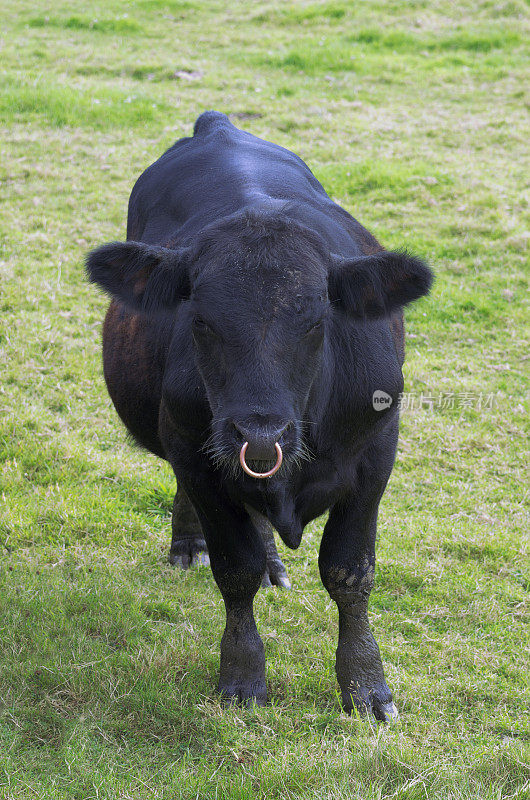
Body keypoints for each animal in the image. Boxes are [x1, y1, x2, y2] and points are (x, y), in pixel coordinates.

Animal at [86, 108, 432, 720]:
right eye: (200, 320)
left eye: (317, 321)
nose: (260, 431)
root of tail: (217, 125)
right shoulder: (198, 455)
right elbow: (235, 568)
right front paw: (243, 677)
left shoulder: (376, 454)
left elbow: (349, 571)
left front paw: (366, 686)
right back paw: (191, 545)